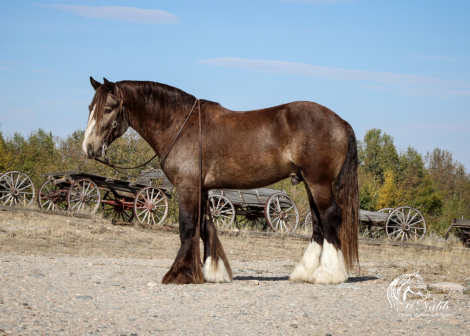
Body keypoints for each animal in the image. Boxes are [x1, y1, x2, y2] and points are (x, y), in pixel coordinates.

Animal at [81, 77, 360, 284]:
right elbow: (205, 226)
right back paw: (305, 273)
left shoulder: (187, 187)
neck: (180, 125)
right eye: (90, 108)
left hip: (318, 182)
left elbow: (187, 227)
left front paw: (178, 274)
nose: (88, 147)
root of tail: (340, 121)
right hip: (310, 183)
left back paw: (329, 274)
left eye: (108, 109)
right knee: (318, 223)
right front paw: (212, 272)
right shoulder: (203, 189)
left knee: (330, 217)